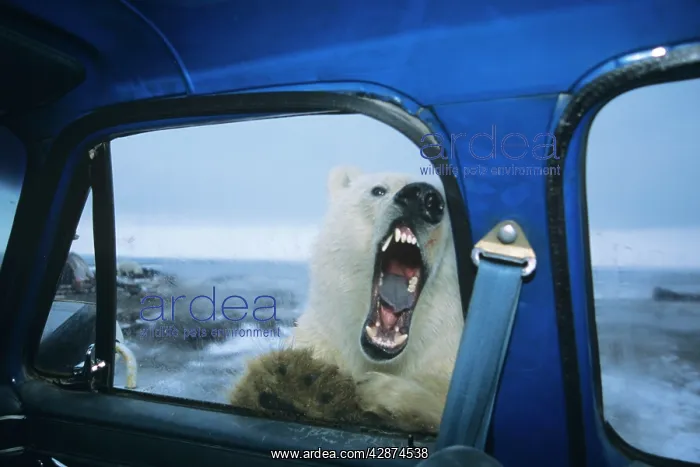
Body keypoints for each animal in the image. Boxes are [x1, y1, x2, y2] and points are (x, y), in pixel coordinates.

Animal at [228, 166, 464, 435]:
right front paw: (297, 382)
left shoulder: (443, 358)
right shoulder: (323, 339)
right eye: (378, 190)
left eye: (448, 204)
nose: (423, 197)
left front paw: (381, 394)